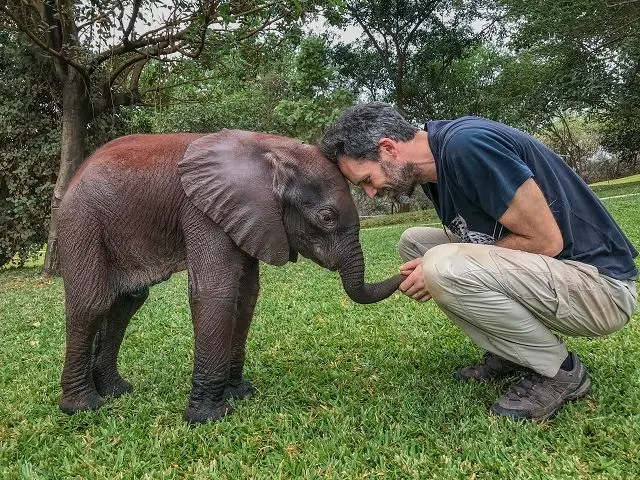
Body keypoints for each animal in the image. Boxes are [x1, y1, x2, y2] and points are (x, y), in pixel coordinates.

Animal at [58, 129, 400, 422]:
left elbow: (245, 296)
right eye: (327, 218)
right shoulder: (202, 211)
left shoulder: (250, 217)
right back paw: (83, 407)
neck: (271, 150)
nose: (404, 273)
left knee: (127, 302)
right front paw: (209, 418)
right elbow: (215, 292)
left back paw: (116, 391)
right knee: (93, 303)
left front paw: (240, 394)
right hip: (82, 221)